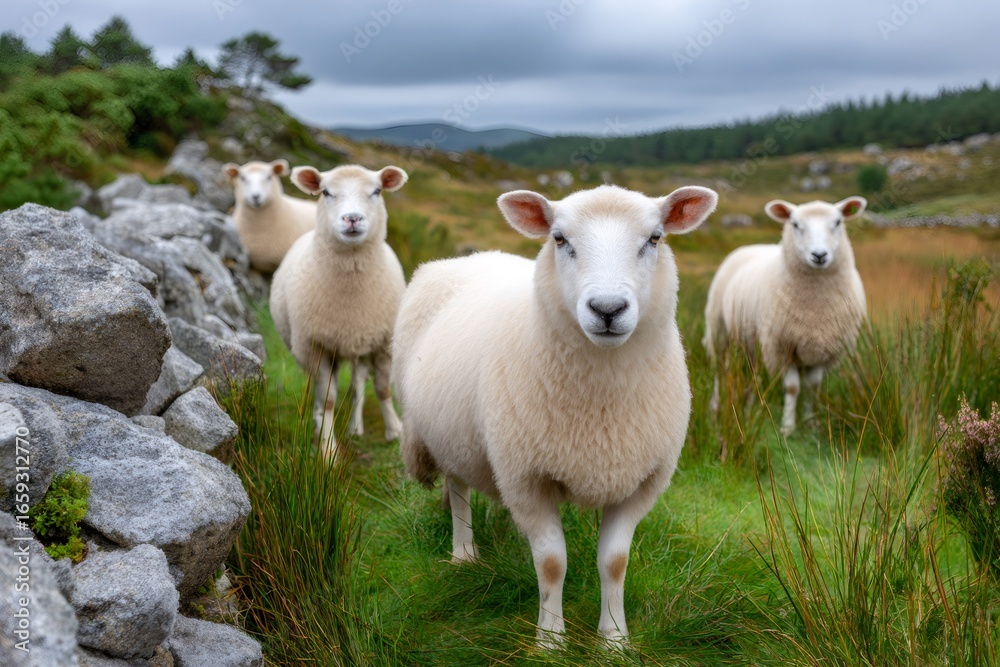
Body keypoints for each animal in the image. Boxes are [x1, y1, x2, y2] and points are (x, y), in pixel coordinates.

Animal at [269, 164, 407, 458]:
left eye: (377, 191)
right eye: (325, 192)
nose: (352, 218)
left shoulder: (382, 344)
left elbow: (382, 389)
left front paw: (394, 431)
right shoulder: (317, 346)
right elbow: (328, 399)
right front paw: (326, 447)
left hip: (359, 345)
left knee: (357, 385)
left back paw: (355, 427)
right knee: (325, 391)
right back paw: (319, 422)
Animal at [392, 184, 718, 647]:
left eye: (654, 238)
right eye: (560, 239)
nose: (607, 308)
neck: (601, 405)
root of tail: (471, 256)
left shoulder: (640, 481)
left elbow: (615, 562)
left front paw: (614, 641)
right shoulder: (526, 477)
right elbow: (551, 563)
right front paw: (549, 642)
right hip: (448, 434)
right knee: (457, 489)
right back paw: (465, 554)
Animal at [703, 197, 868, 435]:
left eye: (838, 222)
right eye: (795, 224)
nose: (819, 255)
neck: (816, 307)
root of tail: (751, 246)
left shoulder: (825, 351)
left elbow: (813, 387)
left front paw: (811, 424)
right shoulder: (781, 347)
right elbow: (792, 388)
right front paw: (788, 427)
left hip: (752, 342)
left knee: (752, 376)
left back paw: (748, 407)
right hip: (719, 329)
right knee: (720, 370)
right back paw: (715, 407)